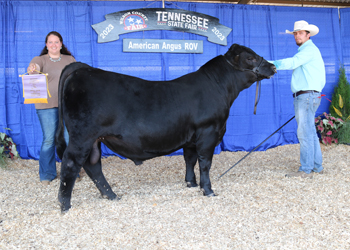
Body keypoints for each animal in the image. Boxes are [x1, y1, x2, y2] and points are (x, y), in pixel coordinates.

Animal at [56, 44, 278, 212]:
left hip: (94, 139)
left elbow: (190, 159)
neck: (218, 87)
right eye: (250, 58)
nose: (273, 67)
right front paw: (208, 190)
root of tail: (82, 69)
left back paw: (111, 195)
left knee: (92, 165)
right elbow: (205, 163)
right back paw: (65, 205)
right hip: (82, 136)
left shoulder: (191, 137)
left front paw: (191, 184)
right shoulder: (208, 132)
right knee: (71, 163)